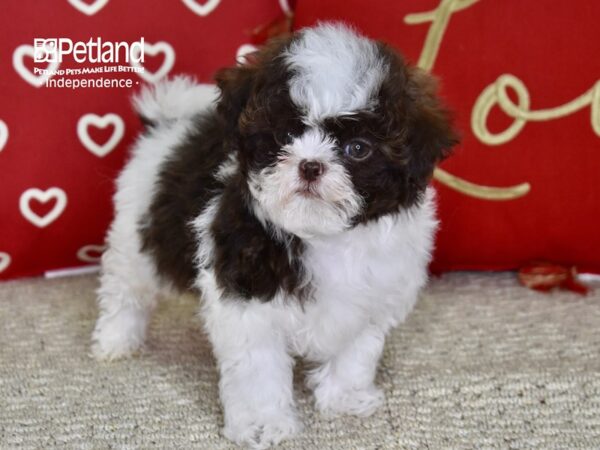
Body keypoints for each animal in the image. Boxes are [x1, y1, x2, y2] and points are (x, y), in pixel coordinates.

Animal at [91, 22, 458, 448]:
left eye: (358, 148)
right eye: (285, 135)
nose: (310, 165)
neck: (324, 236)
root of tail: (169, 126)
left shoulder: (370, 298)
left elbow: (355, 352)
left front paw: (343, 397)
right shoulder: (248, 301)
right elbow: (258, 370)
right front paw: (262, 425)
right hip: (137, 235)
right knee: (126, 290)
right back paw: (116, 340)